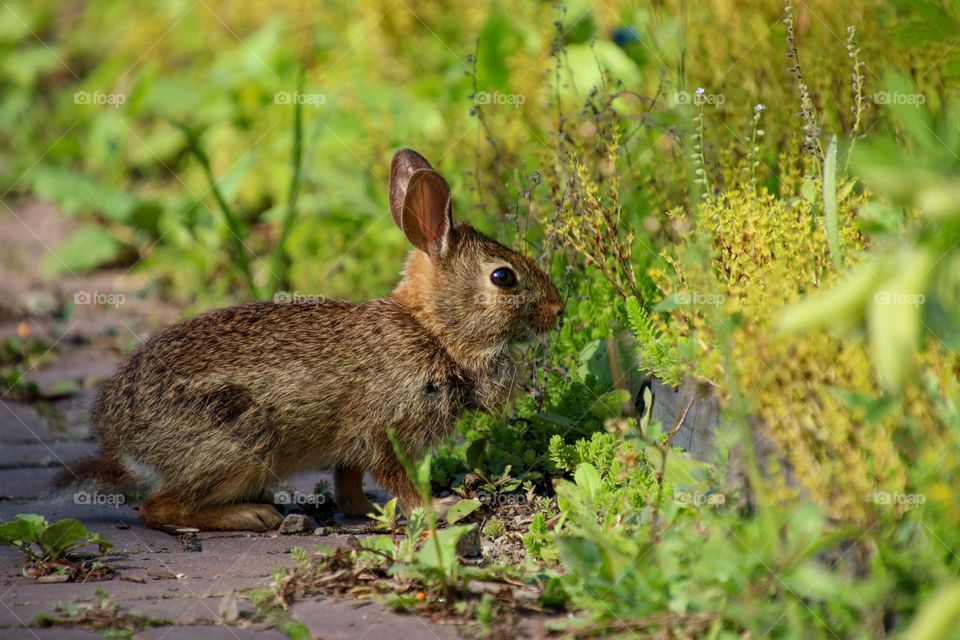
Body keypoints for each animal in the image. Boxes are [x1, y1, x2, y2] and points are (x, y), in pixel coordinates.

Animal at [58, 149, 564, 532]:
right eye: (503, 277)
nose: (559, 310)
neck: (432, 332)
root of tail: (121, 442)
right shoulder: (385, 428)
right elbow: (397, 476)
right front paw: (435, 508)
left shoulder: (353, 444)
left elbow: (348, 481)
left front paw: (367, 511)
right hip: (239, 443)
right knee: (158, 508)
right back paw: (252, 514)